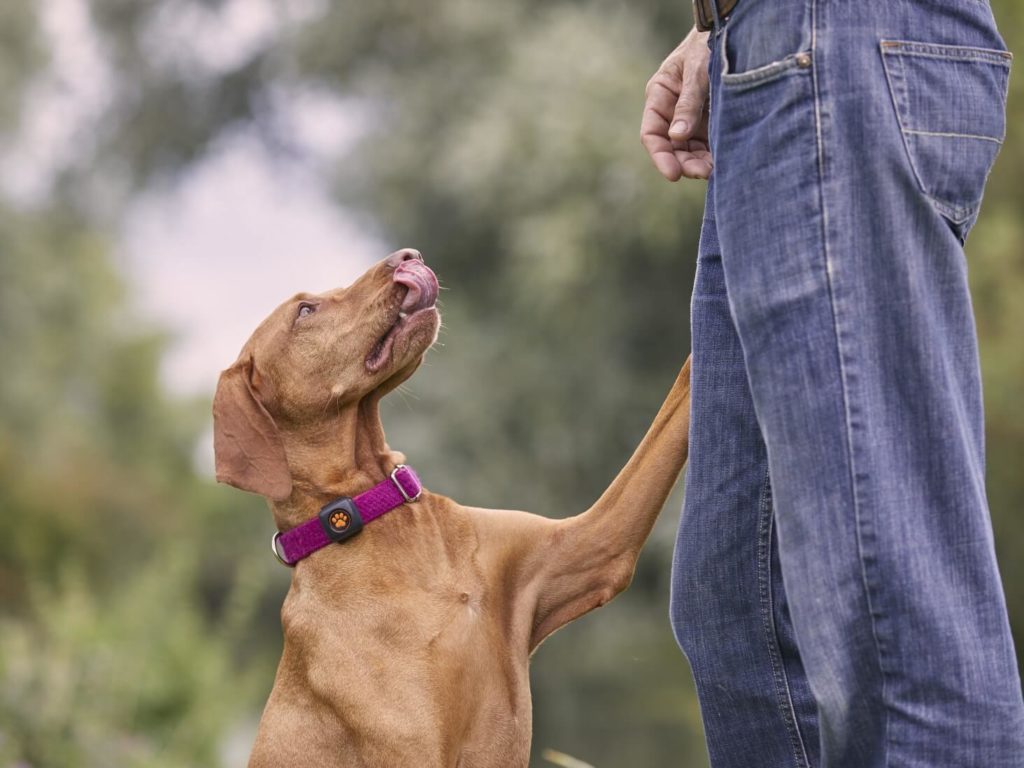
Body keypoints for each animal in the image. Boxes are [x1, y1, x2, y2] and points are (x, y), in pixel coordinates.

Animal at [211, 249, 692, 765]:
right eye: (305, 311)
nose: (407, 257)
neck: (380, 514)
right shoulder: (414, 749)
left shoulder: (594, 545)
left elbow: (680, 395)